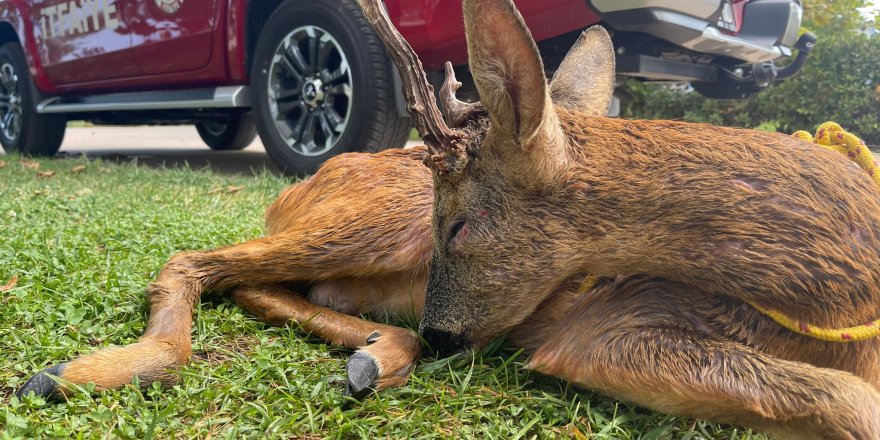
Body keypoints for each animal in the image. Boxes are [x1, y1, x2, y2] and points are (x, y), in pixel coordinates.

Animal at [12, 0, 880, 436]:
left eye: (460, 226)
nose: (442, 328)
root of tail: (305, 182)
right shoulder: (599, 330)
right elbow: (850, 402)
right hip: (369, 220)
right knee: (199, 260)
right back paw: (79, 373)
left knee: (265, 283)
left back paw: (377, 356)